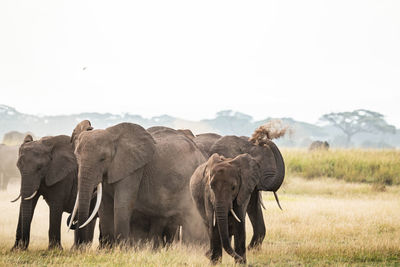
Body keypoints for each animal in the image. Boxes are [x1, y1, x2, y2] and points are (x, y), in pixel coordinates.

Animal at [70, 121, 206, 247]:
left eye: (103, 158)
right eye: (77, 157)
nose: (74, 224)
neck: (112, 135)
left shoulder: (133, 170)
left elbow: (121, 205)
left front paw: (121, 249)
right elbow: (104, 208)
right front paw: (109, 250)